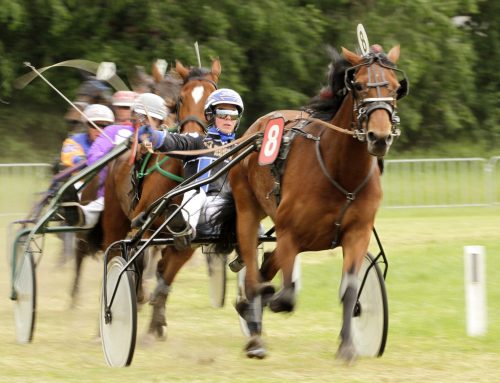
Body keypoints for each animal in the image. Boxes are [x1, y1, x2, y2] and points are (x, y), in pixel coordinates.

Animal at [102, 57, 221, 342]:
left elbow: (166, 276)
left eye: (212, 101)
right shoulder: (142, 225)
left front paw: (155, 327)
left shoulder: (187, 240)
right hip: (114, 219)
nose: (193, 136)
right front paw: (135, 299)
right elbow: (139, 261)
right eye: (181, 99)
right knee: (114, 254)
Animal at [213, 43, 408, 362]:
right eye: (358, 86)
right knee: (254, 273)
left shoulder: (357, 233)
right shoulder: (289, 231)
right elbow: (287, 295)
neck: (340, 172)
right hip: (248, 211)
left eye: (393, 87)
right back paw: (255, 334)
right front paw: (270, 299)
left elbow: (349, 290)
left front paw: (347, 346)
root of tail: (254, 129)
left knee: (267, 264)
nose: (378, 137)